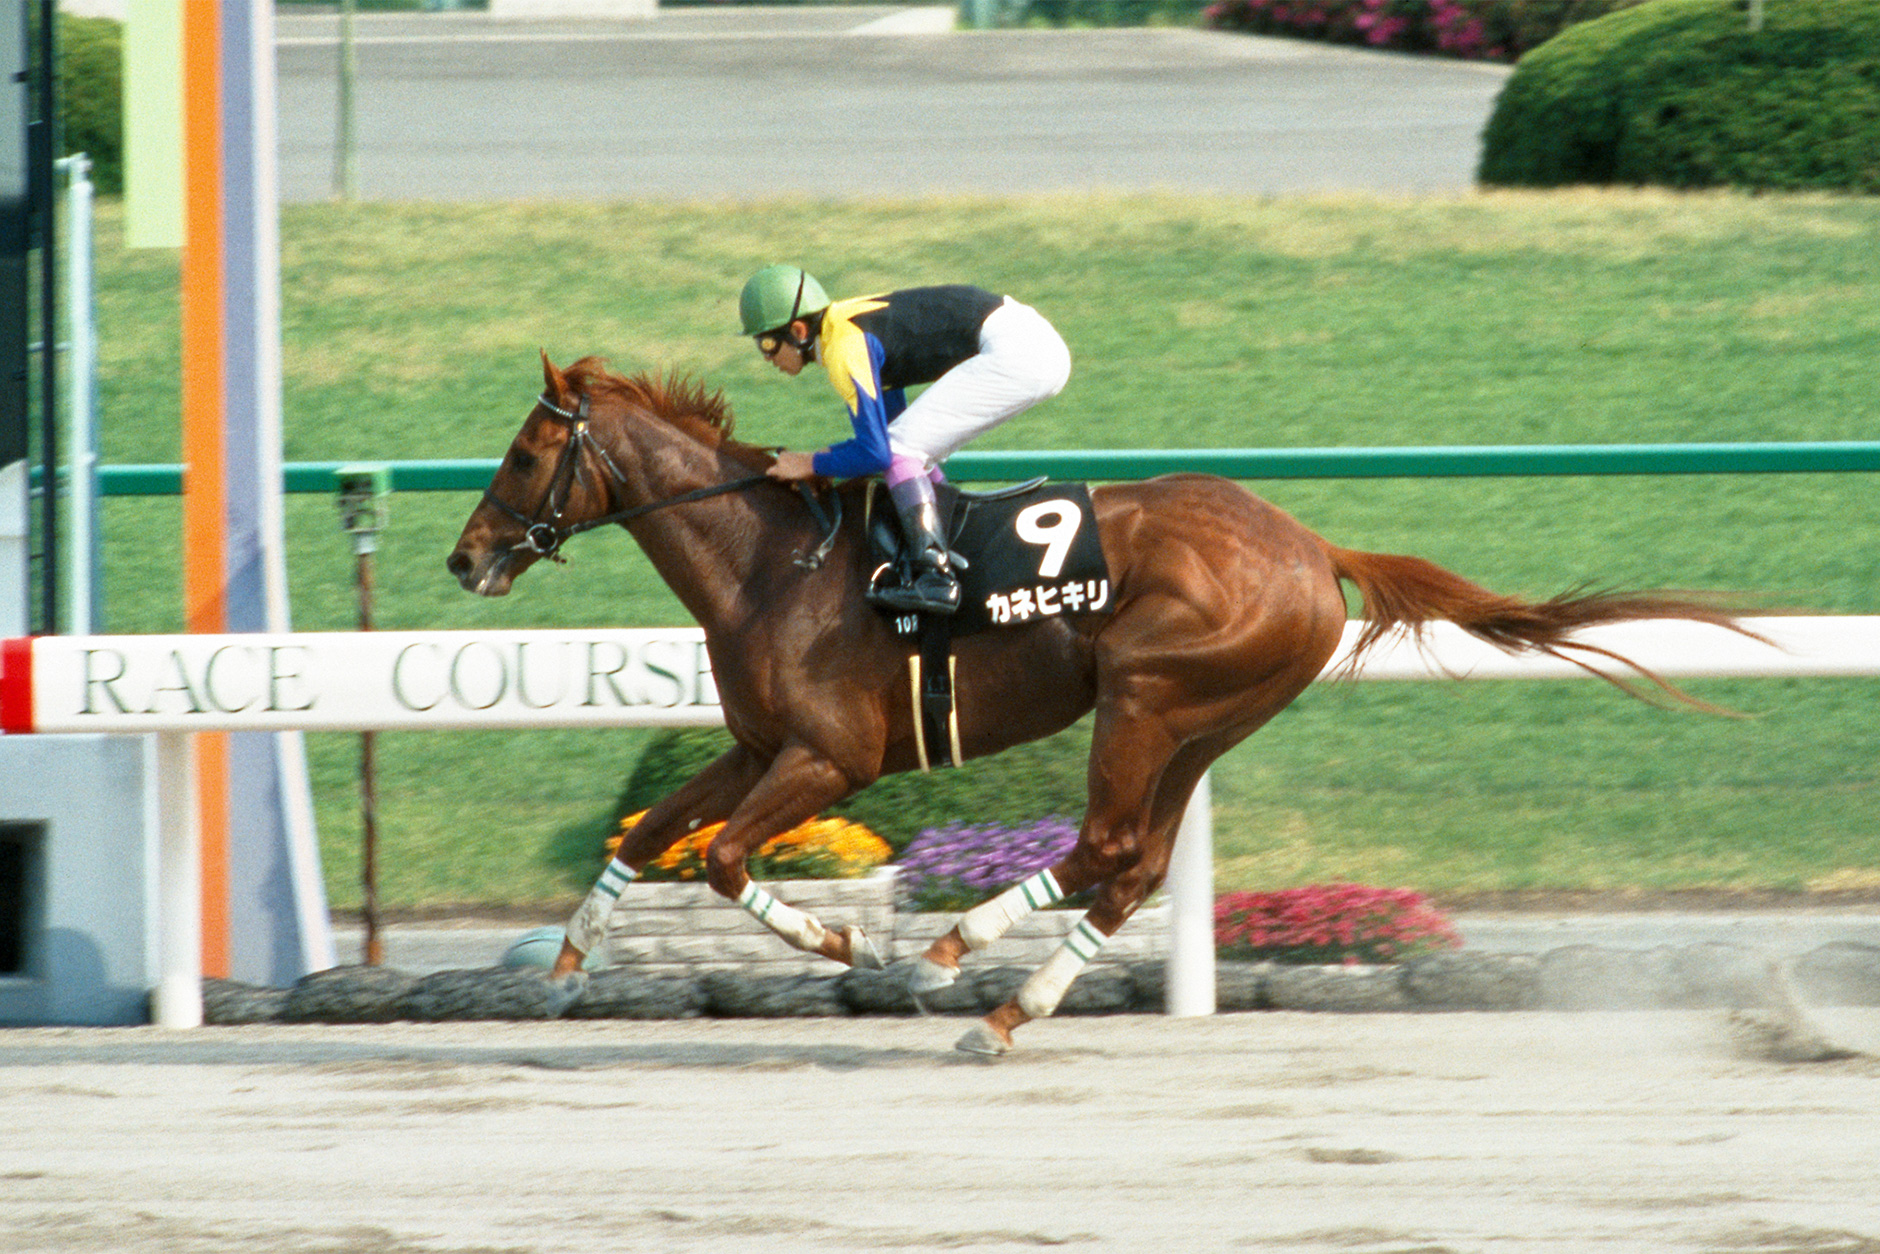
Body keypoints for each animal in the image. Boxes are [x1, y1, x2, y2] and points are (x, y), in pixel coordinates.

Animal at [448, 353, 1755, 1054]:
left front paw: (847, 942)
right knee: (1131, 864)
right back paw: (1004, 1007)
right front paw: (566, 963)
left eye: (522, 456)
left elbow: (718, 858)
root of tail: (1308, 545)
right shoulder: (761, 744)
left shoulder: (829, 758)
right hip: (1201, 719)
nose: (465, 560)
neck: (777, 559)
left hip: (1143, 694)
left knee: (1107, 845)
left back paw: (953, 957)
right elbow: (652, 834)